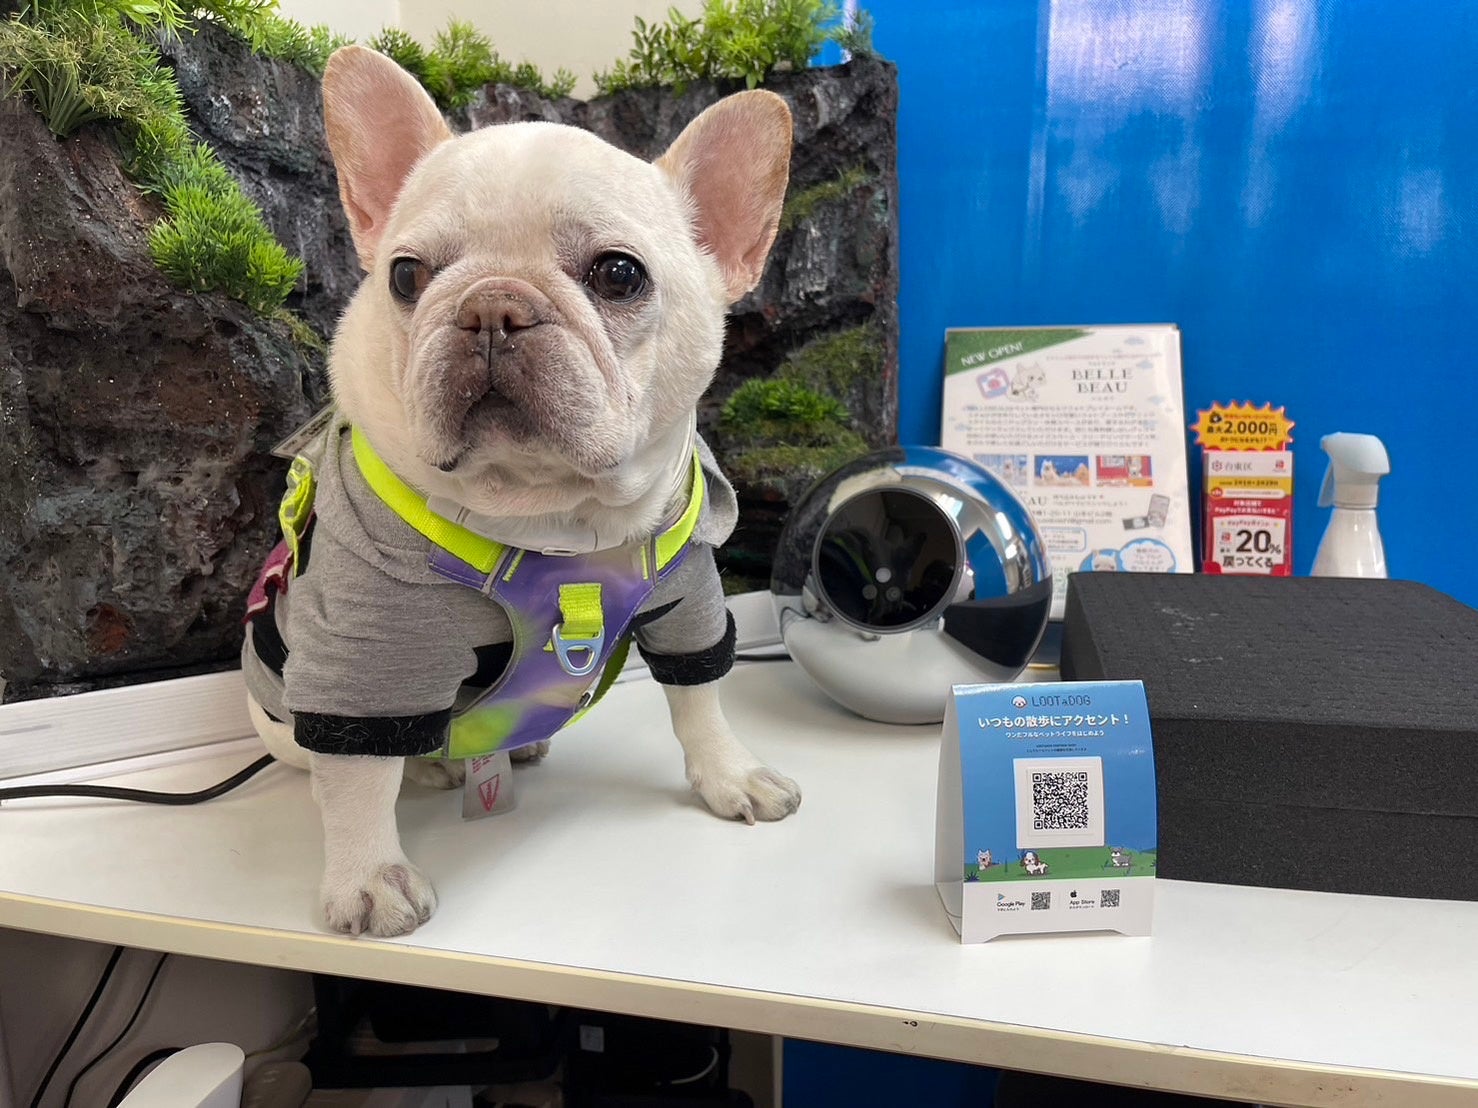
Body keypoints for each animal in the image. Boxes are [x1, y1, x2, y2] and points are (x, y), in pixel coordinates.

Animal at [240, 46, 801, 937]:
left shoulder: (688, 599)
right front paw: (368, 877)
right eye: (406, 275)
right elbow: (358, 779)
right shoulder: (367, 649)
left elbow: (701, 695)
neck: (552, 516)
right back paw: (431, 770)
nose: (492, 307)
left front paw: (729, 774)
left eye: (619, 275)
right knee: (363, 756)